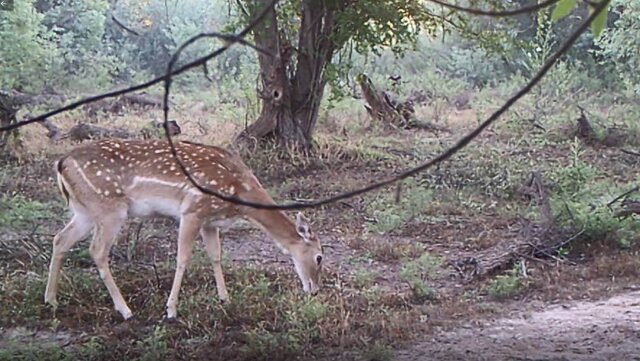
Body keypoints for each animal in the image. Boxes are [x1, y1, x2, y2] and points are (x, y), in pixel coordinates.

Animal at [45, 138, 324, 318]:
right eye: (319, 257)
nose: (314, 290)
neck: (240, 195)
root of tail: (61, 163)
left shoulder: (210, 221)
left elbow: (216, 256)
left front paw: (225, 298)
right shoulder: (192, 210)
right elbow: (182, 258)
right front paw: (171, 310)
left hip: (84, 210)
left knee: (60, 239)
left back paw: (51, 300)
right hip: (109, 207)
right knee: (97, 250)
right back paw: (125, 310)